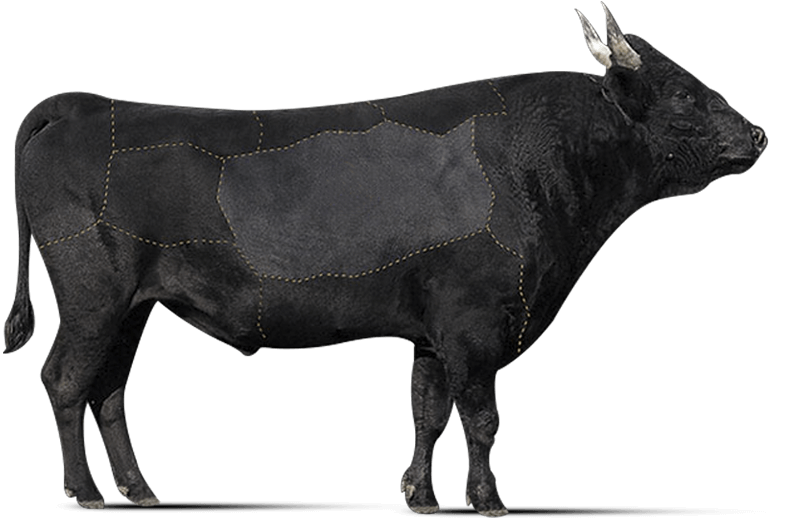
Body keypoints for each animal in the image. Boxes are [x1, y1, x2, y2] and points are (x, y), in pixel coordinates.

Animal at [3, 3, 766, 516]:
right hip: (93, 297)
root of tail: (90, 103)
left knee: (109, 392)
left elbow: (427, 412)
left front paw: (420, 495)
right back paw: (86, 492)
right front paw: (487, 500)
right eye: (684, 93)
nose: (759, 134)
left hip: (136, 309)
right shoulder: (474, 323)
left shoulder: (430, 332)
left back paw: (138, 491)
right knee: (65, 381)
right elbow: (483, 419)